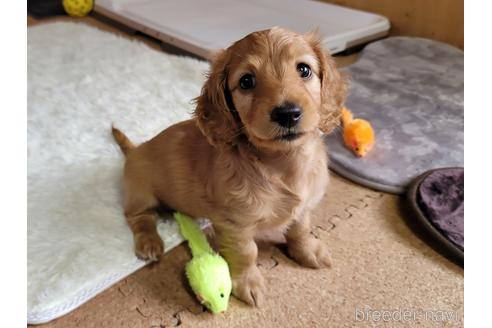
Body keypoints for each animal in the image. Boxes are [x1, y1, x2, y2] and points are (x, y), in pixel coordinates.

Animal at [113, 26, 348, 306]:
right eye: (246, 81)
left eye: (304, 69)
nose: (287, 114)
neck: (284, 163)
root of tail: (134, 149)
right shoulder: (235, 224)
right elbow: (246, 252)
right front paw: (248, 282)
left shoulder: (303, 208)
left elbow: (301, 229)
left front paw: (308, 250)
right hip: (140, 191)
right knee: (139, 217)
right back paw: (149, 242)